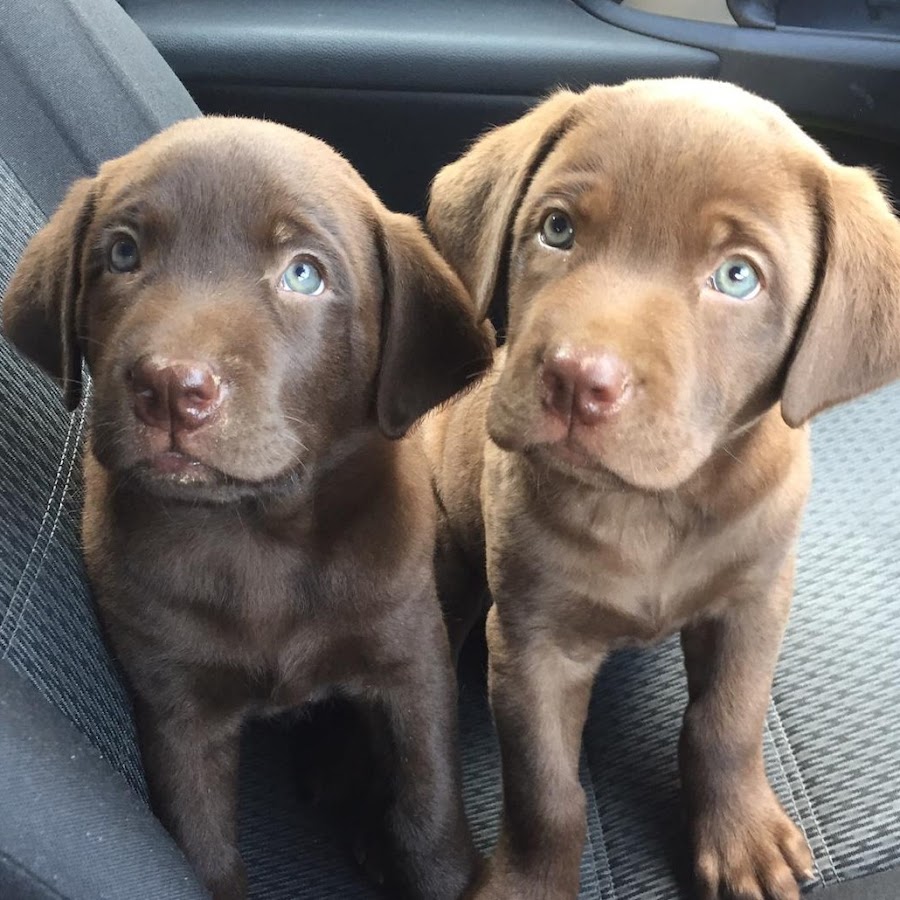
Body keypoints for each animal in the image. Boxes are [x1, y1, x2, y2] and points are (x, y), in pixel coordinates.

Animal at [3, 116, 494, 900]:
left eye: (303, 273)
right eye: (122, 253)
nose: (171, 388)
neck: (259, 533)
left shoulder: (410, 658)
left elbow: (428, 809)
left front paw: (441, 871)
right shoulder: (176, 707)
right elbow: (204, 853)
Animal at [422, 79, 900, 900]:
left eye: (737, 276)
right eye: (556, 229)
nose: (577, 378)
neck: (649, 507)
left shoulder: (754, 599)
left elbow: (727, 721)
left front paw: (739, 836)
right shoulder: (531, 642)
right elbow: (545, 789)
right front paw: (529, 883)